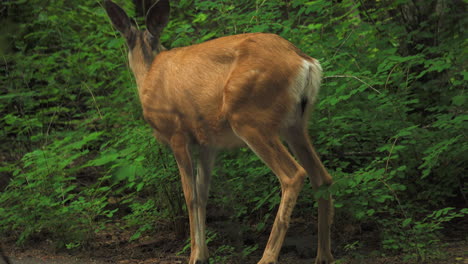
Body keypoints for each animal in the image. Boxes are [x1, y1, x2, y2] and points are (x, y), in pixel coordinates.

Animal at [104, 0, 334, 264]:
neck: (149, 72)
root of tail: (305, 61)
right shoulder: (207, 143)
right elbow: (203, 193)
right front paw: (203, 254)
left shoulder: (177, 134)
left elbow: (190, 195)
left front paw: (194, 255)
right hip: (295, 124)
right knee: (322, 176)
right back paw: (324, 255)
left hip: (249, 117)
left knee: (293, 174)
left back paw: (267, 257)